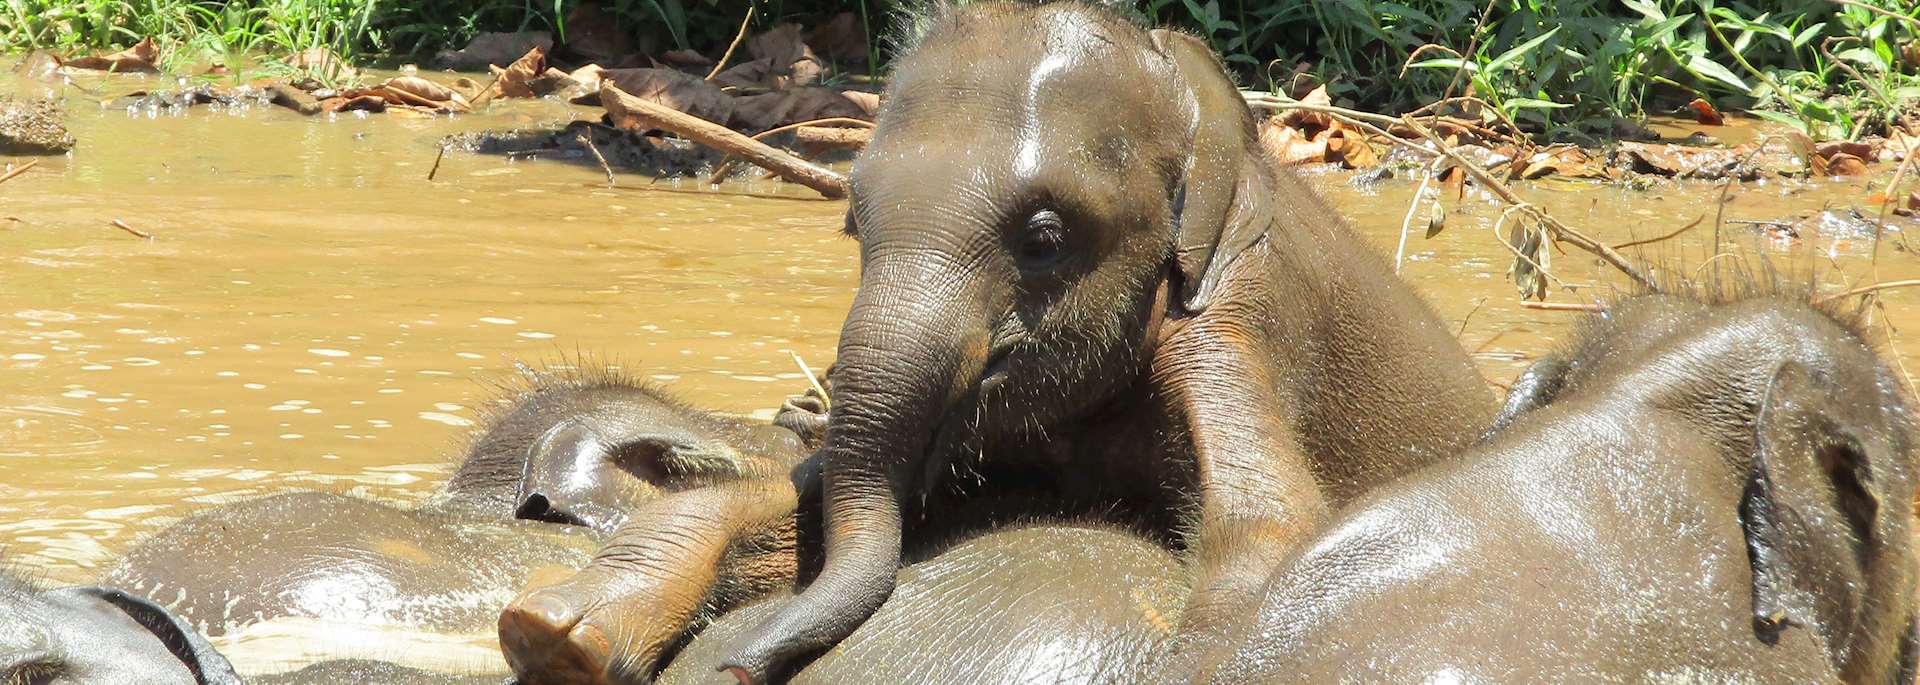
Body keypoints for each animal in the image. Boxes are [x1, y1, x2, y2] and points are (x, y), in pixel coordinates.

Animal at [499, 3, 1495, 683]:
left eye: (1044, 238)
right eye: (854, 223)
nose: (736, 665)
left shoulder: (1236, 315)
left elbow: (1271, 525)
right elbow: (805, 488)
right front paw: (551, 634)